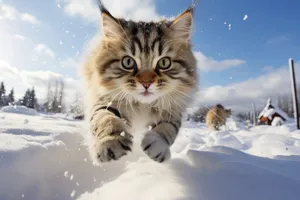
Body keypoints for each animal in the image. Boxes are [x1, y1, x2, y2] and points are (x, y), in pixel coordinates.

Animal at [81, 0, 199, 163]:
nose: (146, 83)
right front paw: (111, 142)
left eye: (164, 63)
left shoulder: (173, 108)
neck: (142, 106)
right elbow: (106, 119)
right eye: (128, 62)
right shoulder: (105, 100)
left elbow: (168, 128)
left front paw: (157, 145)